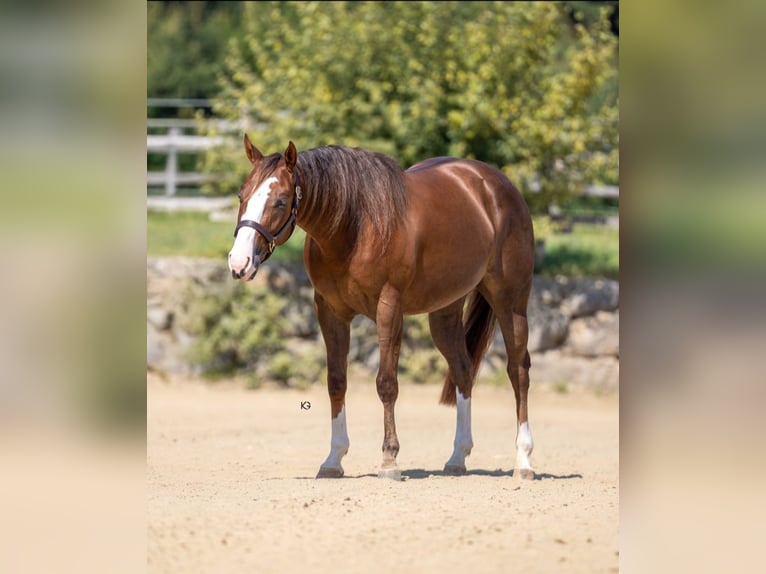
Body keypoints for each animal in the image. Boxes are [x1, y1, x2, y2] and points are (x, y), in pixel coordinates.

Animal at [228, 135, 536, 480]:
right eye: (242, 194)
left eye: (281, 201)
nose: (239, 262)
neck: (355, 228)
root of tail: (498, 185)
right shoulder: (330, 312)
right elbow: (336, 381)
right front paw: (333, 459)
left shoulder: (389, 308)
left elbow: (386, 383)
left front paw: (389, 460)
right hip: (444, 313)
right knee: (462, 370)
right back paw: (458, 457)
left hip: (511, 302)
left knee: (518, 371)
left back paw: (523, 461)